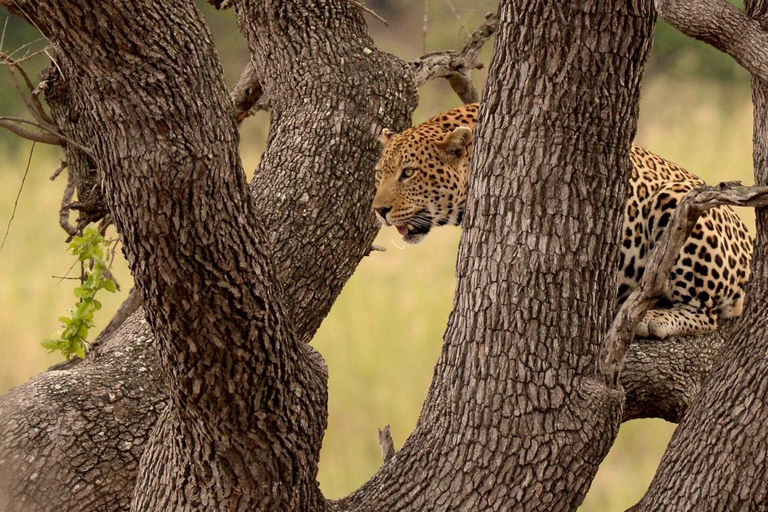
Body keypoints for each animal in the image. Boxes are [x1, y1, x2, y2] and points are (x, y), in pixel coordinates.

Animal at [376, 102, 752, 340]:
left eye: (408, 173)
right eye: (380, 173)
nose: (379, 210)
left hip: (678, 201)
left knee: (708, 313)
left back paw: (655, 318)